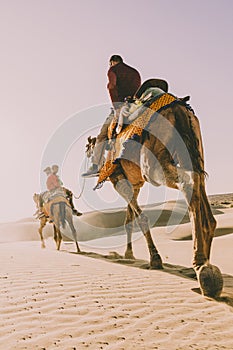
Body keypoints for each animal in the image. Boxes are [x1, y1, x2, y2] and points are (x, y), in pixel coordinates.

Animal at [87, 95, 224, 298]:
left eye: (89, 148)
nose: (90, 162)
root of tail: (179, 107)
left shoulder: (117, 179)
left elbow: (141, 217)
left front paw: (155, 259)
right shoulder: (135, 184)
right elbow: (129, 219)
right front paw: (129, 255)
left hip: (152, 164)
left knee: (189, 181)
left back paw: (203, 269)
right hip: (195, 150)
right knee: (199, 183)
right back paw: (202, 263)